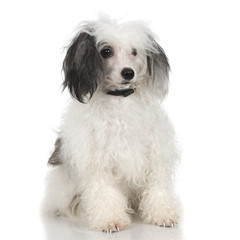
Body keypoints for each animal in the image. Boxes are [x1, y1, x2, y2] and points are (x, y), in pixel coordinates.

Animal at [43, 16, 182, 232]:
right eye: (106, 51)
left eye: (134, 52)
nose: (128, 73)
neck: (119, 100)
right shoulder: (96, 160)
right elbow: (104, 190)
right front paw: (111, 219)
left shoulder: (155, 151)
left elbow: (157, 184)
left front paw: (162, 213)